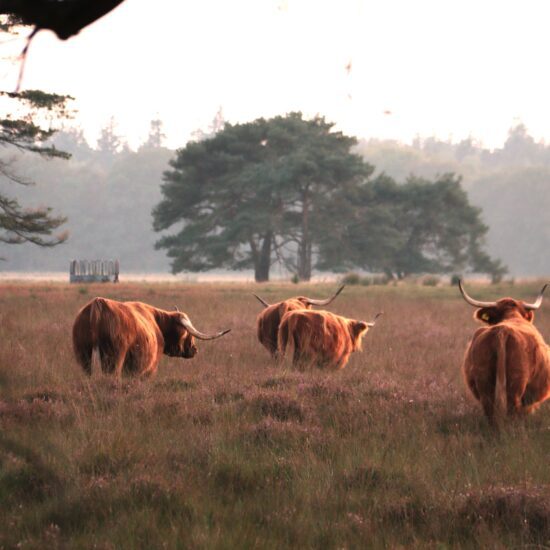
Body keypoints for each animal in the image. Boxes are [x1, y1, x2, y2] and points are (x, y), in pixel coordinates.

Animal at [73, 298, 231, 380]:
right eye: (187, 333)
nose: (194, 349)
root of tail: (98, 304)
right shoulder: (149, 367)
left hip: (84, 356)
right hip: (113, 358)